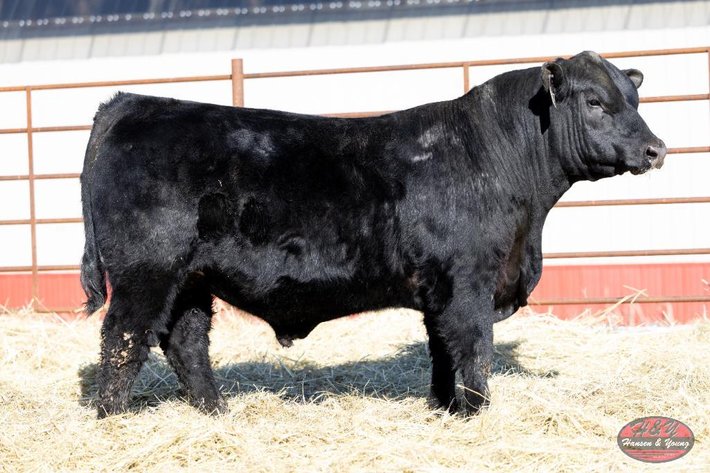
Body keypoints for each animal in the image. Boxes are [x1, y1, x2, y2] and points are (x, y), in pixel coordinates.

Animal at [80, 51, 665, 418]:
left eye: (634, 100)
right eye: (594, 102)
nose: (656, 149)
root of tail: (130, 103)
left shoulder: (438, 289)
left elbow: (442, 349)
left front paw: (444, 410)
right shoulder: (468, 281)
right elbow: (473, 348)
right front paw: (476, 413)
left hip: (191, 278)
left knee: (185, 342)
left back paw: (216, 412)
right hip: (146, 272)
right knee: (122, 340)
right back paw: (114, 419)